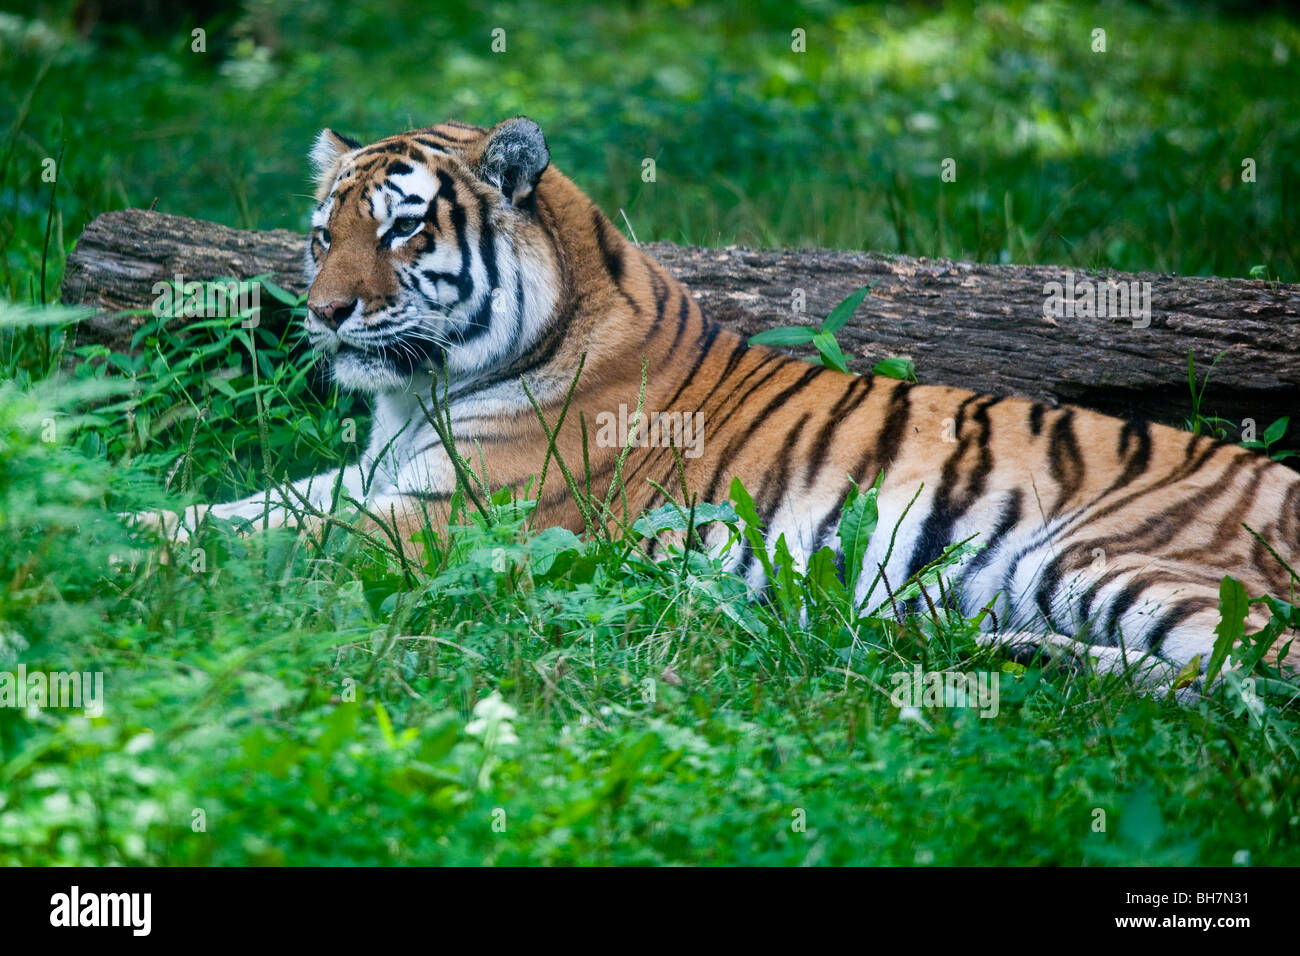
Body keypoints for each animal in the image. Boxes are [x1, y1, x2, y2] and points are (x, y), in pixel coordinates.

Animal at [170, 117, 1289, 686]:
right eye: (325, 233)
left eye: (401, 230)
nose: (323, 314)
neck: (422, 394)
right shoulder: (371, 478)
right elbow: (232, 510)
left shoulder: (443, 518)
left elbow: (248, 542)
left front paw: (129, 556)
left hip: (1105, 556)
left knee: (1253, 672)